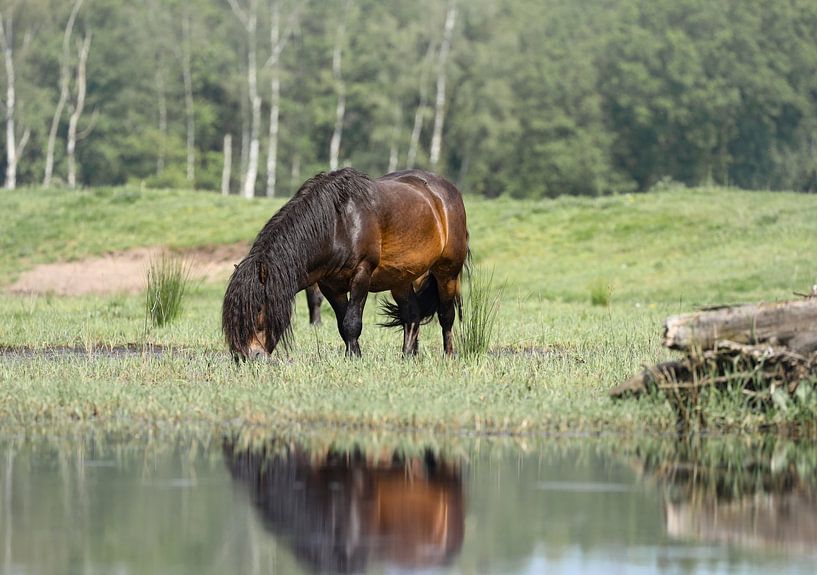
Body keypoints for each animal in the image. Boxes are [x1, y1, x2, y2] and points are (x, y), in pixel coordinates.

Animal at [222, 167, 469, 360]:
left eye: (259, 312)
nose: (245, 357)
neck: (337, 225)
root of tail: (447, 190)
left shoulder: (361, 274)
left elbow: (352, 321)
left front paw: (353, 358)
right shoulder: (330, 285)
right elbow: (343, 324)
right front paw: (354, 355)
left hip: (447, 272)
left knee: (446, 315)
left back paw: (448, 355)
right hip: (400, 279)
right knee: (412, 315)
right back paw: (408, 356)